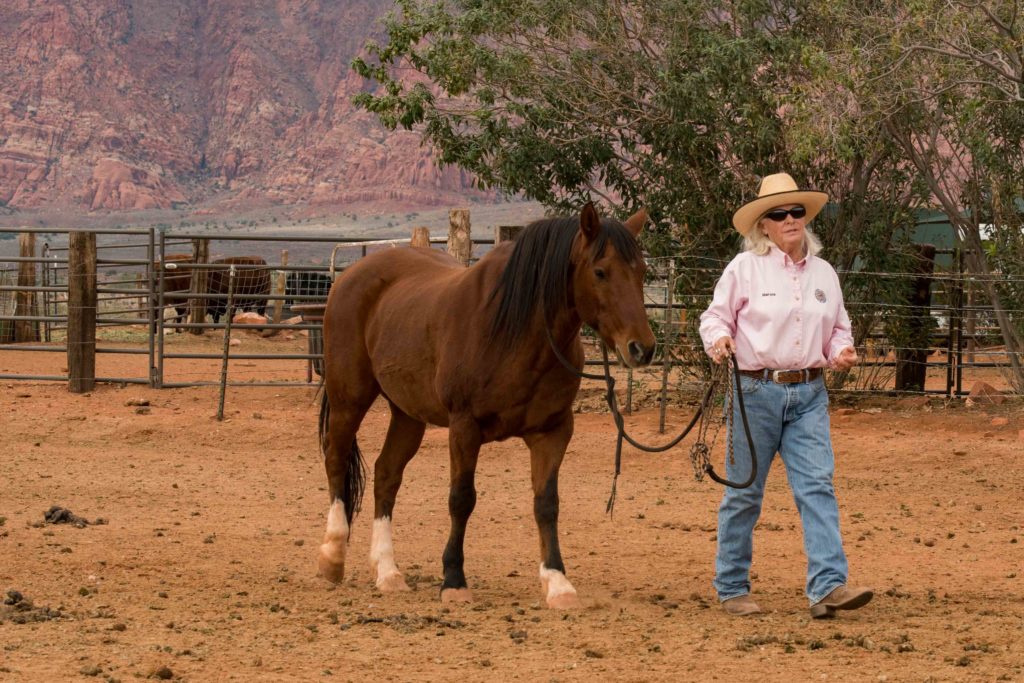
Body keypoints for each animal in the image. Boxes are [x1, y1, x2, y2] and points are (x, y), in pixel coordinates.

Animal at [317, 202, 655, 610]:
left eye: (642, 271)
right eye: (601, 271)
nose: (642, 348)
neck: (515, 333)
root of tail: (350, 276)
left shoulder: (553, 432)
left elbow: (546, 502)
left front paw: (557, 582)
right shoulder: (465, 427)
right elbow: (462, 498)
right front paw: (454, 580)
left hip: (408, 414)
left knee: (386, 475)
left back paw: (388, 572)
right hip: (349, 398)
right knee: (336, 460)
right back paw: (333, 556)